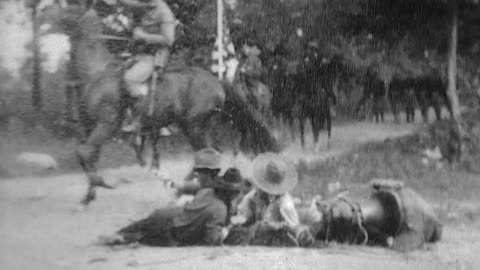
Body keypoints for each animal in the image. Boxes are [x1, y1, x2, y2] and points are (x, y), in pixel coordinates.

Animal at [59, 5, 278, 205]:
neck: (97, 74)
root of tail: (217, 82)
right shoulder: (90, 128)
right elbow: (89, 154)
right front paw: (89, 195)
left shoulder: (106, 125)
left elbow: (83, 151)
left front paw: (100, 183)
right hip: (194, 127)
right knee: (209, 154)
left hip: (194, 127)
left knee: (208, 154)